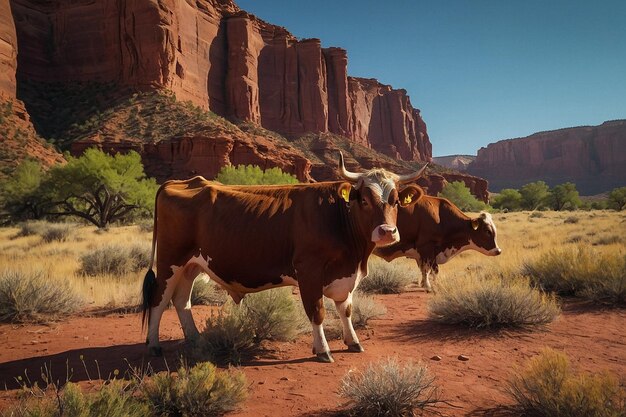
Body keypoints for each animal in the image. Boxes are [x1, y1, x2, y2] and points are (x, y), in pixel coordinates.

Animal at [141, 154, 424, 362]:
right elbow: (317, 311)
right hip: (170, 261)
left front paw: (353, 342)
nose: (387, 232)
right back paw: (153, 345)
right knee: (158, 299)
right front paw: (323, 350)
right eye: (364, 200)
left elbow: (346, 309)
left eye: (396, 201)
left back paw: (195, 338)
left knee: (181, 300)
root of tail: (179, 182)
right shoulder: (309, 271)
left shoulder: (346, 274)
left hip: (191, 265)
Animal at [372, 190, 500, 290]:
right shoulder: (426, 247)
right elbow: (427, 269)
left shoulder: (429, 253)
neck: (441, 217)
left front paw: (430, 284)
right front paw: (428, 286)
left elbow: (431, 270)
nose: (498, 251)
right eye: (487, 231)